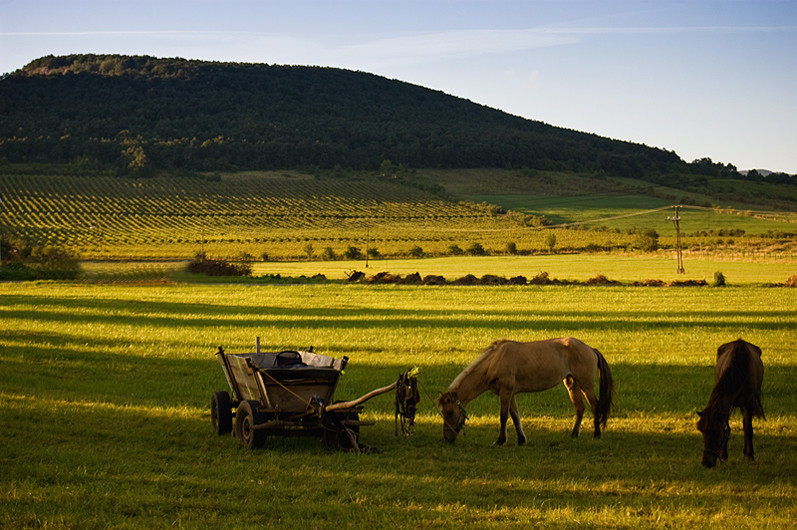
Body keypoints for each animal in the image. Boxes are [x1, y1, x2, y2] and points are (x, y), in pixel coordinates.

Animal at [436, 336, 616, 444]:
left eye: (450, 412)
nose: (447, 437)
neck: (494, 361)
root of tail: (590, 349)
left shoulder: (506, 392)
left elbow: (504, 416)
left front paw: (500, 440)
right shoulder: (510, 394)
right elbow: (515, 416)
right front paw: (521, 439)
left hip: (586, 384)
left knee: (595, 406)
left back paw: (597, 433)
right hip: (571, 383)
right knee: (580, 408)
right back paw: (574, 434)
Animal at [696, 338, 764, 466]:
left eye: (717, 433)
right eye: (702, 431)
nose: (706, 463)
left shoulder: (748, 403)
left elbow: (748, 429)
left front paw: (750, 455)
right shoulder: (726, 408)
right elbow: (728, 427)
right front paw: (724, 455)